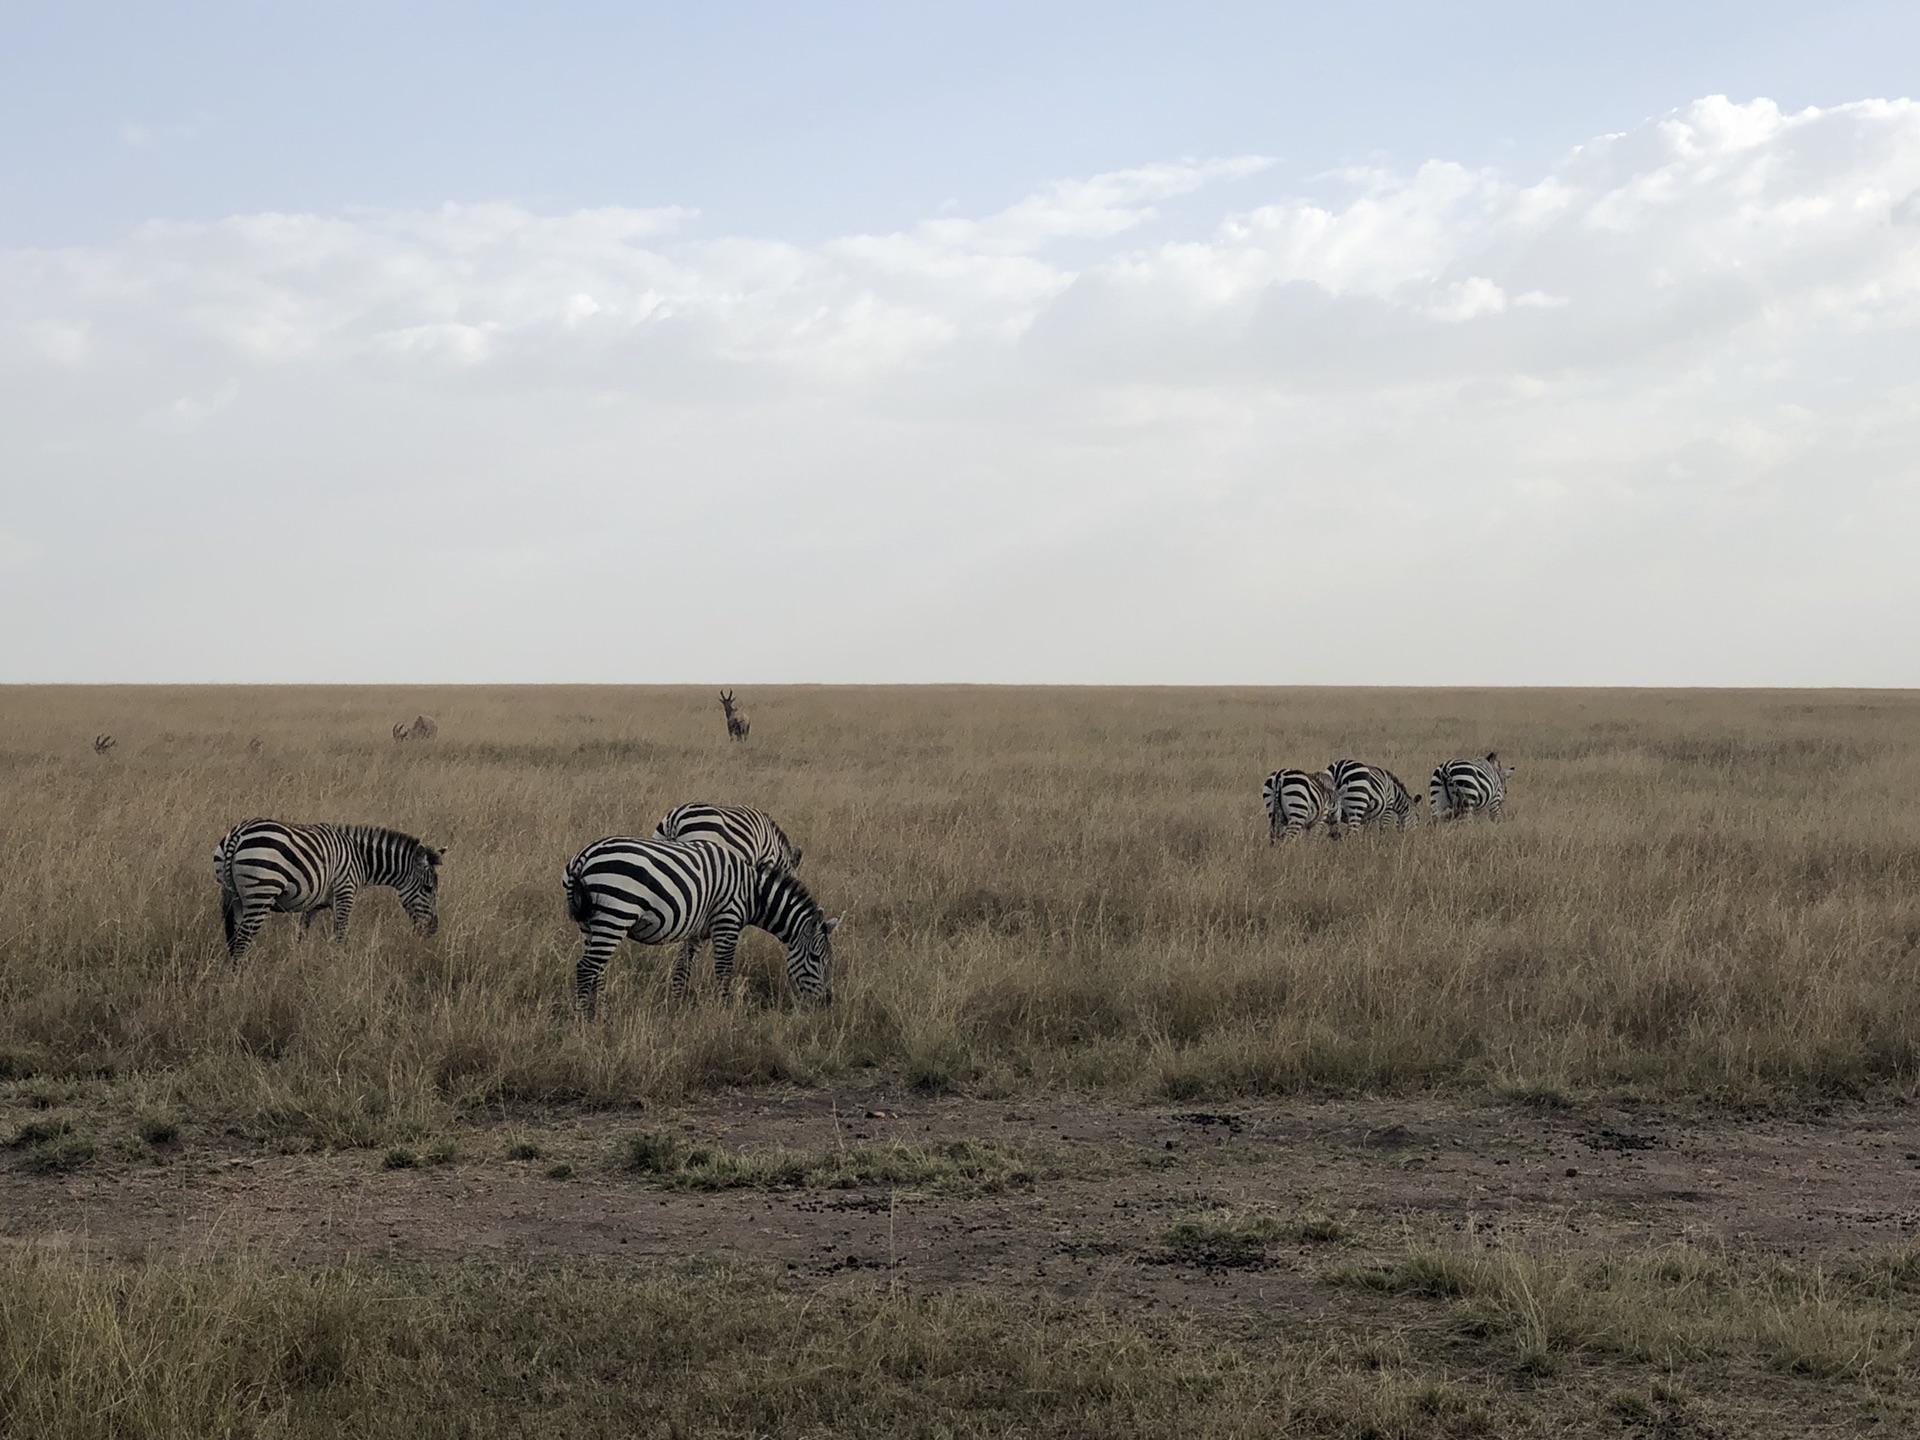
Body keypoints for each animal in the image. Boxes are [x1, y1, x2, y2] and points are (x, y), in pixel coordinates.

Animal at [215, 817, 445, 963]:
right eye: (428, 888)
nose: (433, 929)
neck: (360, 859)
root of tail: (238, 834)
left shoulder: (314, 903)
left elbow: (303, 933)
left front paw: (300, 961)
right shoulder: (345, 892)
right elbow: (341, 933)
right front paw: (339, 964)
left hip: (235, 896)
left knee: (235, 937)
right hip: (261, 892)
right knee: (242, 939)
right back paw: (241, 978)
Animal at [560, 833, 837, 1013]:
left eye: (830, 961)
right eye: (815, 958)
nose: (827, 1002)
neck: (751, 893)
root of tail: (584, 857)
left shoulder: (696, 930)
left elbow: (682, 969)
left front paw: (675, 1007)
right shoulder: (727, 922)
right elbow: (724, 971)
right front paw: (725, 1012)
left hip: (592, 924)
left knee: (596, 969)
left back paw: (601, 1011)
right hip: (615, 915)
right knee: (586, 968)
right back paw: (585, 1018)